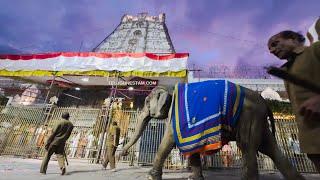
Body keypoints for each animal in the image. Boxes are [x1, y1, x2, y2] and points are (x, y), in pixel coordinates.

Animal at [120, 80, 304, 180]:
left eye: (146, 102)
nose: (122, 153)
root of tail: (265, 102)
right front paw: (193, 178)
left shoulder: (176, 118)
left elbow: (167, 141)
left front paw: (150, 176)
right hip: (259, 121)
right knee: (270, 149)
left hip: (249, 117)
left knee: (248, 147)